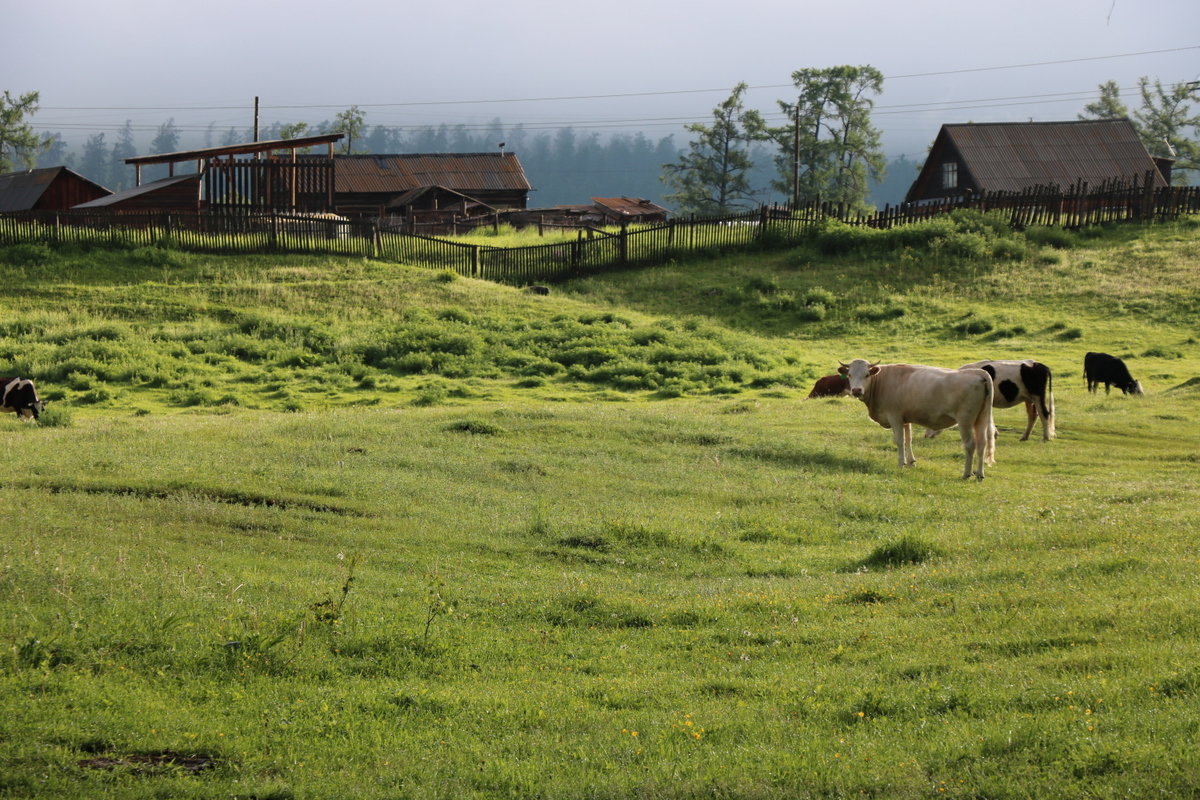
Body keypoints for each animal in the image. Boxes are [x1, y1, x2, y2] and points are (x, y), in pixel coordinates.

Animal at [840, 357, 998, 482]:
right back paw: (980, 474)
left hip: (965, 420)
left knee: (970, 445)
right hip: (981, 419)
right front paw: (911, 462)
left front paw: (901, 463)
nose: (856, 390)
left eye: (867, 375)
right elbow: (908, 439)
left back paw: (966, 474)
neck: (881, 382)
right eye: (849, 374)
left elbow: (900, 440)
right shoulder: (905, 418)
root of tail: (976, 372)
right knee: (982, 444)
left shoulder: (894, 416)